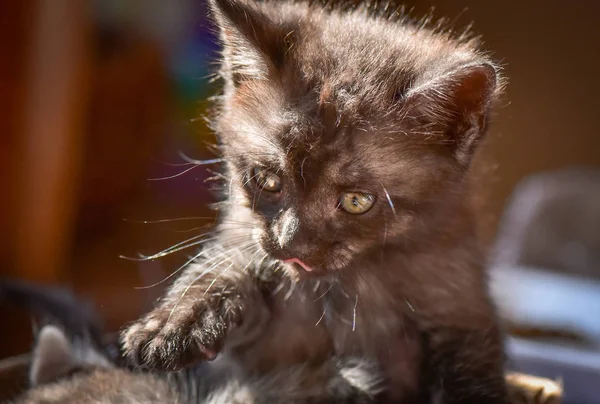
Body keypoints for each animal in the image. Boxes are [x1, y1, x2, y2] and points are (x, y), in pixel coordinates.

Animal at [124, 0, 508, 402]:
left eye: (356, 201)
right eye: (268, 180)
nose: (290, 244)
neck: (351, 279)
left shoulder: (459, 310)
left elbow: (470, 375)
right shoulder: (254, 262)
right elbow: (229, 265)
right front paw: (174, 321)